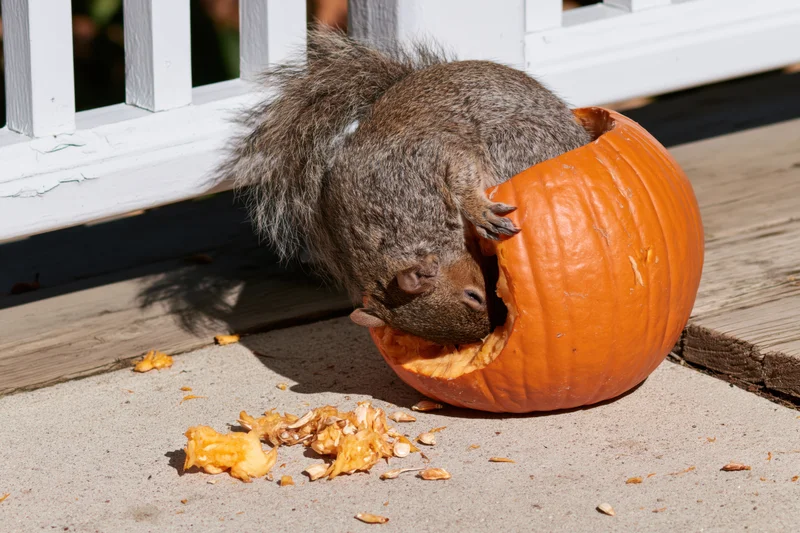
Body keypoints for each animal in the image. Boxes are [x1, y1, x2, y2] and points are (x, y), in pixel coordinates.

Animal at [218, 29, 591, 346]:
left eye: (474, 295)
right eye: (441, 341)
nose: (492, 329)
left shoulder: (429, 157)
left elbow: (462, 175)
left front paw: (478, 211)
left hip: (513, 142)